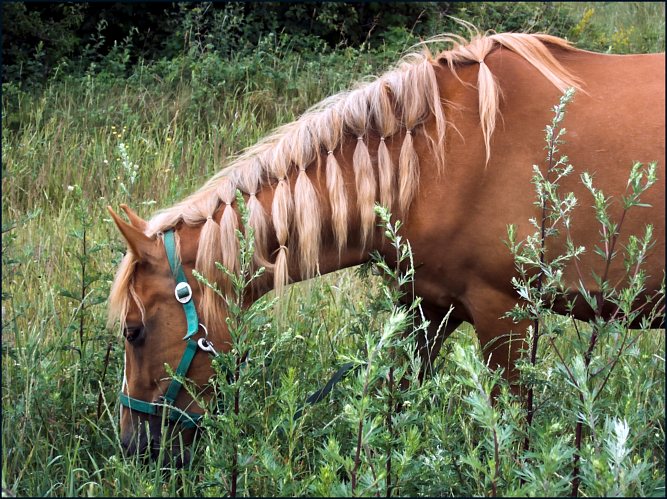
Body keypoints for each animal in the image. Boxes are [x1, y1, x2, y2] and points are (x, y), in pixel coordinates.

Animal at [107, 30, 664, 460]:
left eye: (134, 331)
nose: (134, 447)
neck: (441, 156)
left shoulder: (505, 315)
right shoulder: (427, 307)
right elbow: (397, 405)